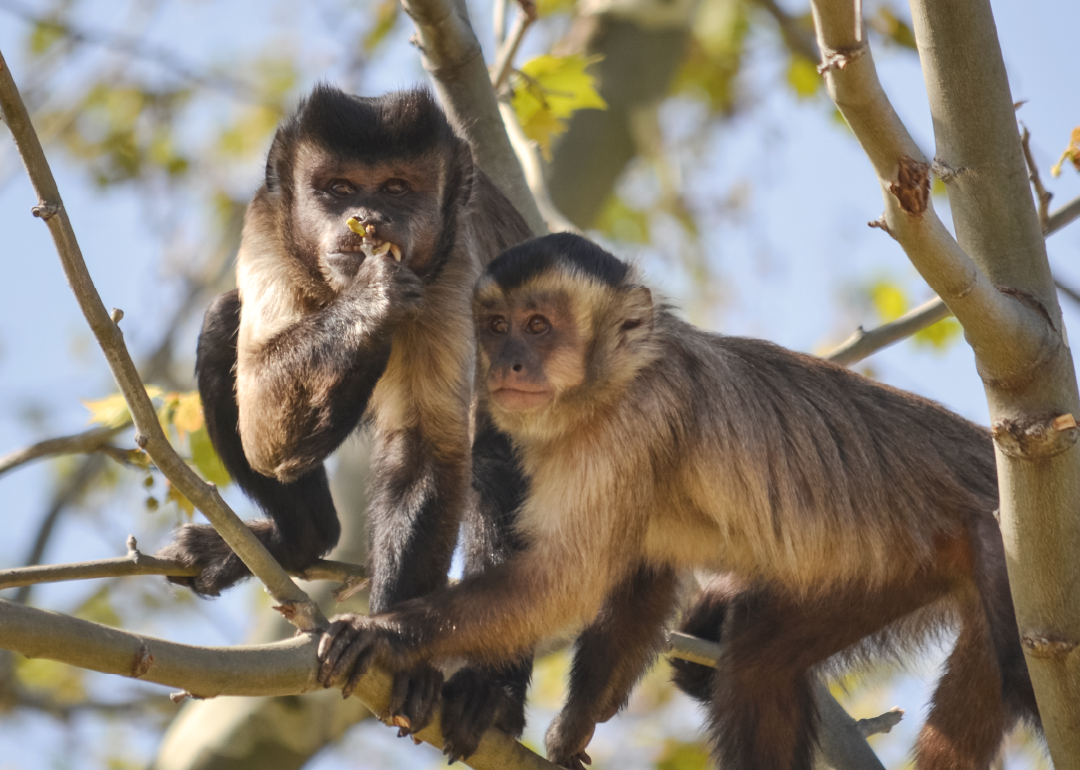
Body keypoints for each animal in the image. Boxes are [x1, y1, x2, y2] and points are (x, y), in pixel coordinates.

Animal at [157, 85, 536, 759]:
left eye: (396, 187)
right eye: (337, 187)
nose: (369, 220)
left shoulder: (454, 264)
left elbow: (424, 452)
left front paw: (390, 647)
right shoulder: (265, 225)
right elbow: (264, 428)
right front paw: (373, 298)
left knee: (496, 461)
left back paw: (492, 694)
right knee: (223, 324)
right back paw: (297, 539)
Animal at [315, 232, 1040, 770]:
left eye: (539, 326)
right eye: (495, 327)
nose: (506, 364)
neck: (613, 384)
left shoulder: (629, 426)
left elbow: (565, 581)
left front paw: (388, 636)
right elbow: (642, 572)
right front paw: (574, 728)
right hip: (917, 559)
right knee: (760, 658)